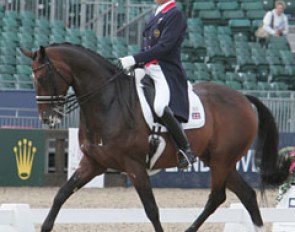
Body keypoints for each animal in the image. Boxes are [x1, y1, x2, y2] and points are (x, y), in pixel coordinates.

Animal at [21, 42, 292, 231]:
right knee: (245, 195)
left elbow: (151, 210)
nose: (48, 118)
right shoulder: (93, 163)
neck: (108, 103)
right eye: (32, 78)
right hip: (219, 161)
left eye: (43, 77)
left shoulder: (134, 166)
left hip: (222, 160)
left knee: (217, 197)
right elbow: (60, 195)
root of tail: (243, 97)